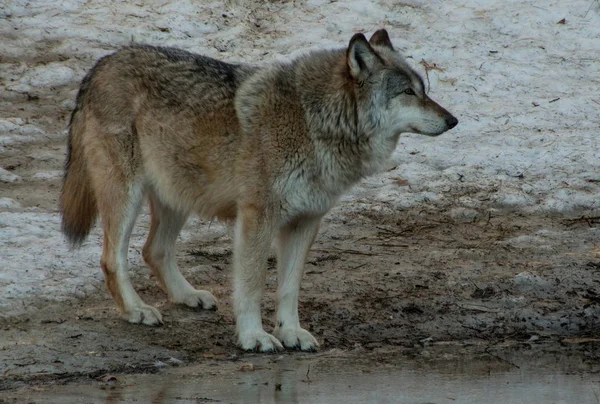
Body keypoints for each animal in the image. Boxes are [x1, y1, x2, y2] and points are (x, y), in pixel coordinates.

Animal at [58, 29, 458, 350]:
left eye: (424, 90)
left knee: (153, 250)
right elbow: (251, 286)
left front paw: (290, 333)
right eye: (407, 92)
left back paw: (188, 296)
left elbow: (289, 288)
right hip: (128, 196)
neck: (315, 122)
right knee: (113, 259)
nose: (453, 120)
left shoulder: (305, 222)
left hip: (177, 195)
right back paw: (136, 310)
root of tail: (100, 65)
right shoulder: (257, 217)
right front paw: (254, 337)